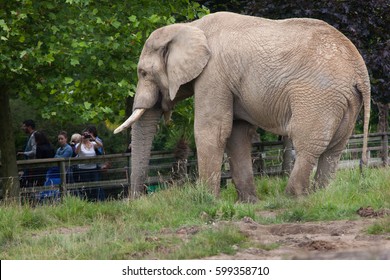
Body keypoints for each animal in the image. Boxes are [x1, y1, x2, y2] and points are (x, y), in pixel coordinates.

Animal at [114, 12, 370, 202]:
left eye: (143, 73)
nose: (137, 200)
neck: (189, 27)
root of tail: (360, 71)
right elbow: (236, 133)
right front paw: (247, 203)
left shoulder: (213, 74)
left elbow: (212, 130)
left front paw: (207, 201)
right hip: (345, 100)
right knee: (334, 149)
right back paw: (319, 196)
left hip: (318, 96)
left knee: (308, 143)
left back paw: (292, 197)